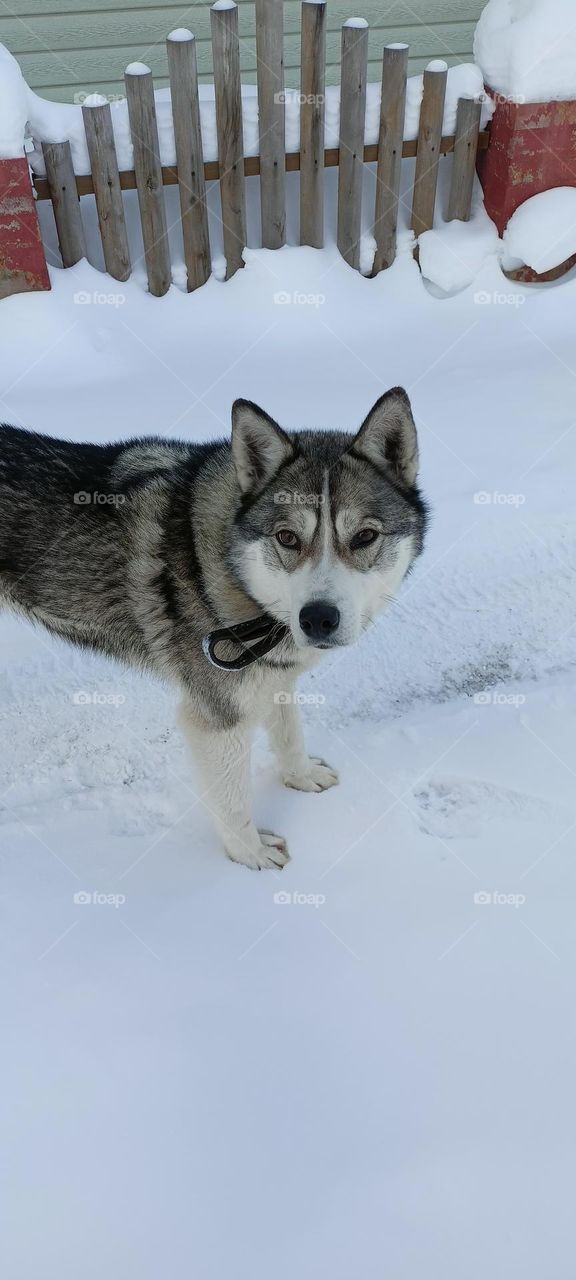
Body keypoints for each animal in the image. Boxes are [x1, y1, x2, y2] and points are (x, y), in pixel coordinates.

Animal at [0, 389, 427, 870]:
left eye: (365, 537)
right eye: (287, 538)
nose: (317, 618)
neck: (225, 567)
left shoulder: (272, 676)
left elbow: (289, 734)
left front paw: (299, 776)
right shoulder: (216, 720)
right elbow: (233, 801)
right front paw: (250, 855)